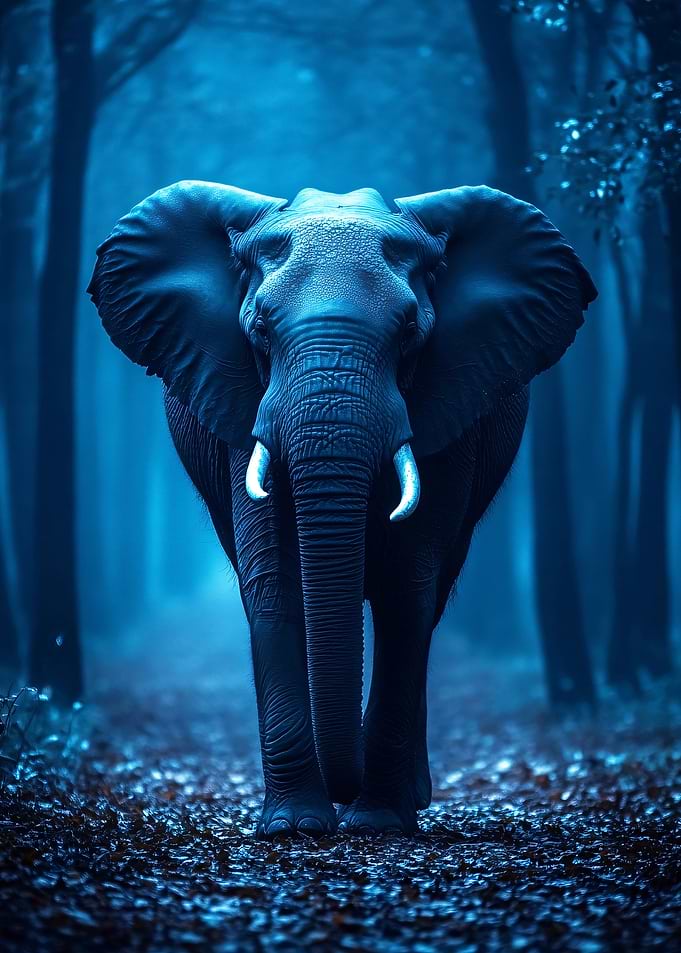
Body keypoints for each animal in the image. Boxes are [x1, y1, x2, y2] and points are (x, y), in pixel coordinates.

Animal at [88, 181, 596, 838]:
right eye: (259, 329)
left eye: (408, 331)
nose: (343, 789)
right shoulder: (241, 401)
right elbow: (275, 583)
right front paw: (295, 826)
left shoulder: (449, 407)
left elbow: (409, 589)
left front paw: (377, 823)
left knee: (429, 600)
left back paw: (409, 796)